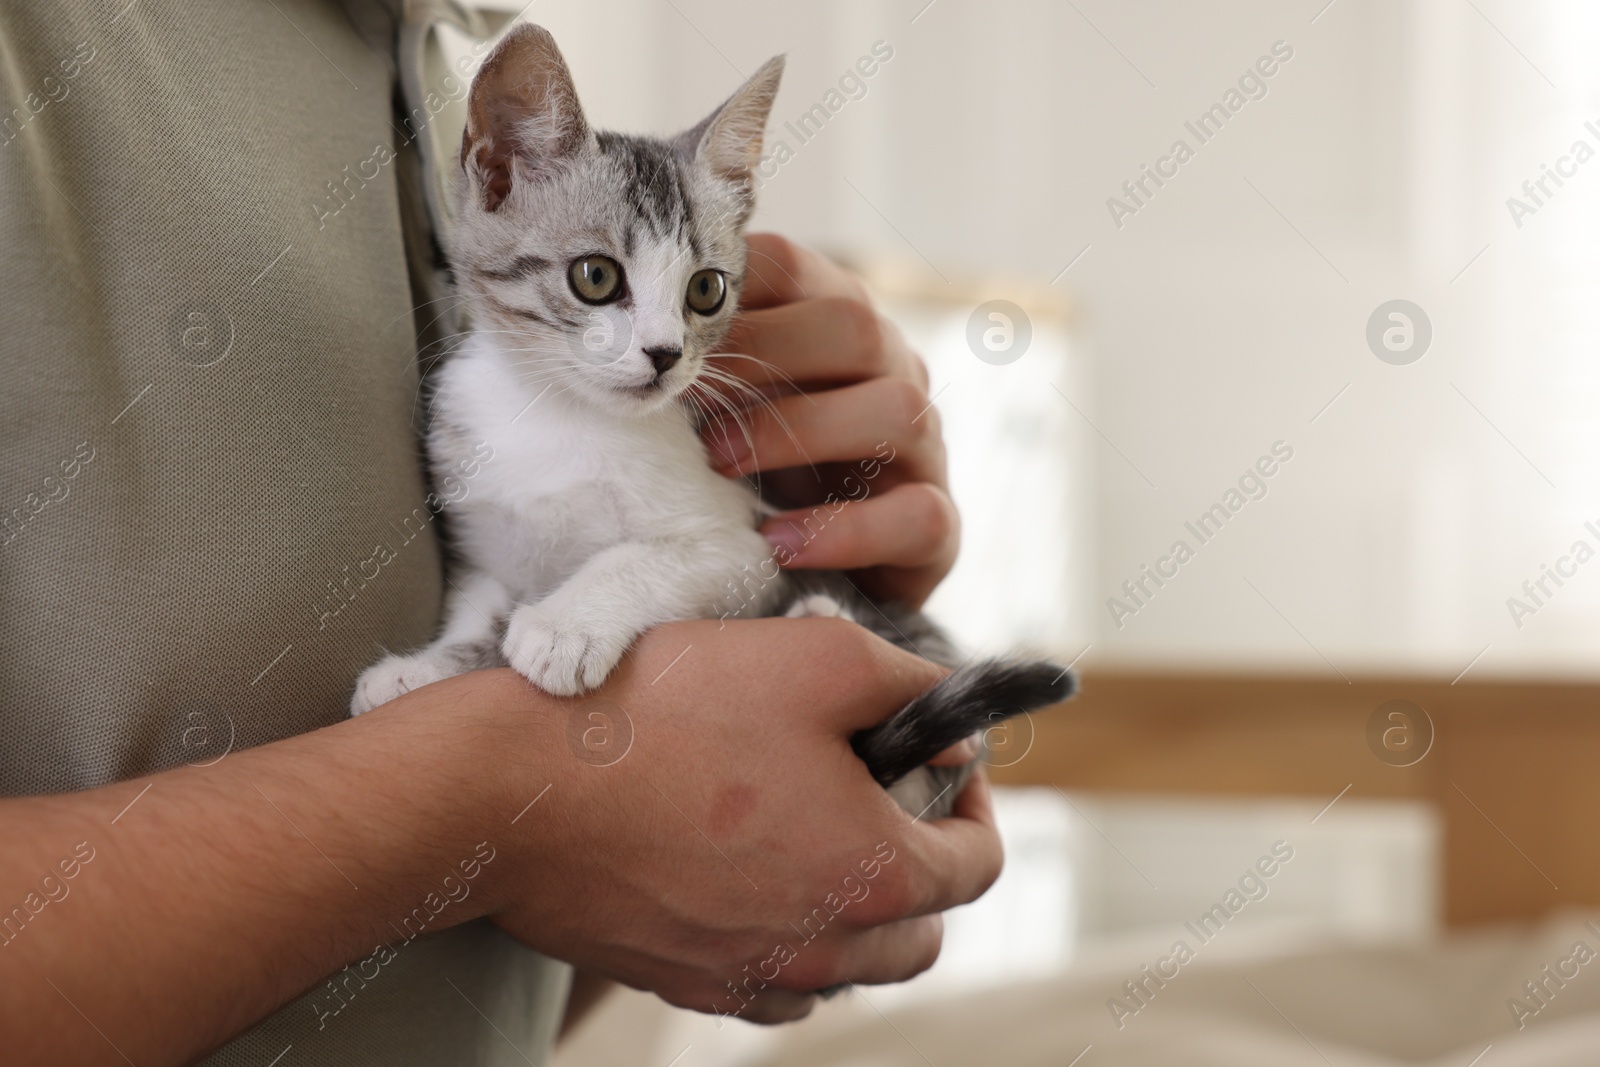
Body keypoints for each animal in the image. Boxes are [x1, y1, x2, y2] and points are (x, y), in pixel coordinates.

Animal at [350, 24, 1075, 819]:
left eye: (706, 289)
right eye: (595, 276)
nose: (665, 354)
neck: (560, 414)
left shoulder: (746, 546)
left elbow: (644, 558)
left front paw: (563, 624)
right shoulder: (483, 543)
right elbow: (477, 610)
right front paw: (424, 669)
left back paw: (822, 617)